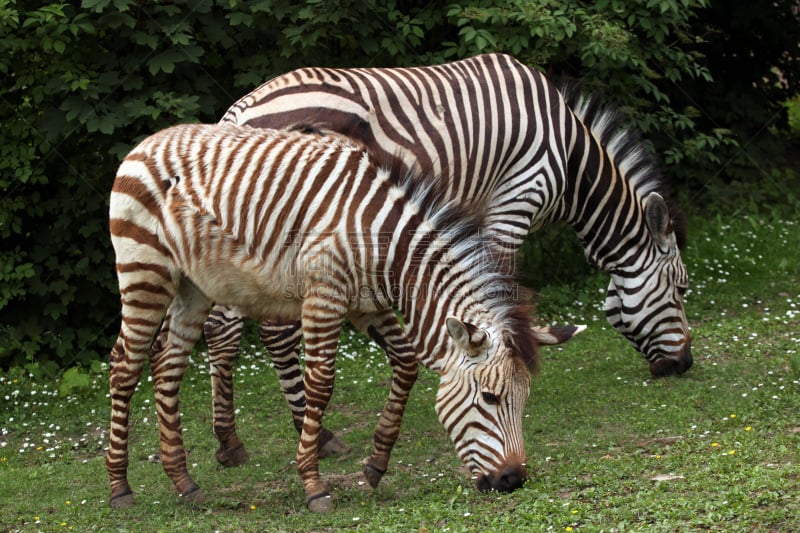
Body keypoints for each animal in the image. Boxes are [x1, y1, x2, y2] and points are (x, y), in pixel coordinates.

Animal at [106, 121, 544, 512]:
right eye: (490, 398)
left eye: (524, 400)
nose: (513, 480)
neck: (383, 245)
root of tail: (145, 143)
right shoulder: (324, 299)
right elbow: (319, 385)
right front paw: (313, 484)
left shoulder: (368, 305)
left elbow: (406, 364)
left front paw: (376, 464)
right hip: (145, 272)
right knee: (125, 366)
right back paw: (119, 487)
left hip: (192, 288)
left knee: (167, 366)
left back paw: (183, 481)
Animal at [203, 51, 692, 466]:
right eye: (682, 289)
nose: (684, 366)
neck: (571, 159)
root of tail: (238, 111)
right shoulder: (517, 200)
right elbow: (502, 280)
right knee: (273, 333)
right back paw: (316, 436)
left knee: (221, 329)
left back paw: (229, 443)